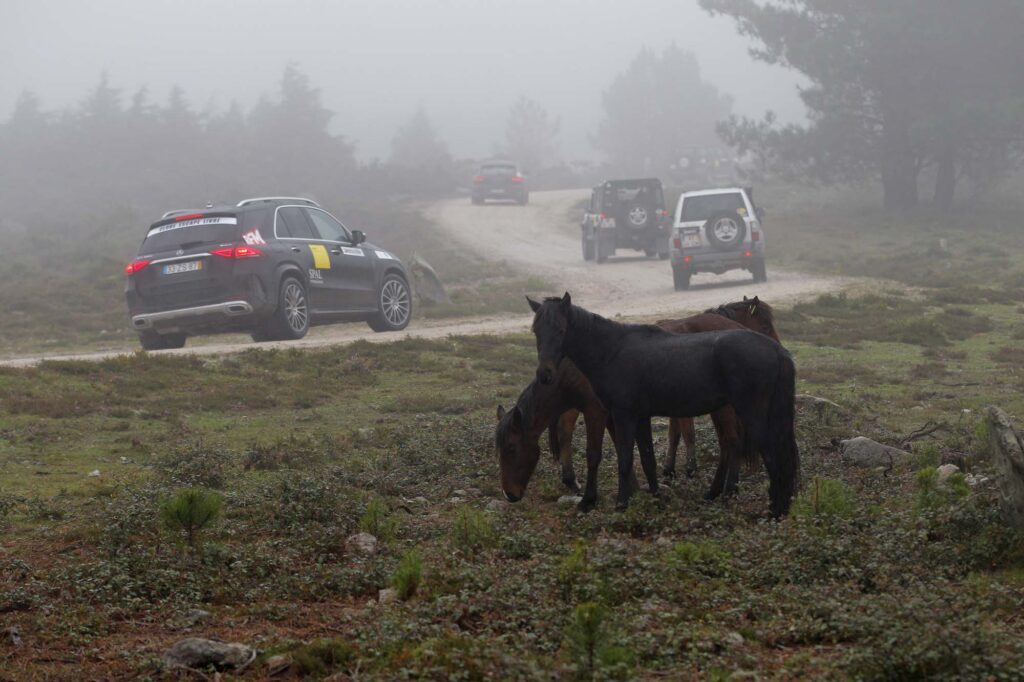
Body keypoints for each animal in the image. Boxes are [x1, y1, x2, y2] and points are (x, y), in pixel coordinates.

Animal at [528, 292, 798, 516]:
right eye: (536, 331)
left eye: (561, 329)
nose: (545, 374)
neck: (613, 350)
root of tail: (778, 352)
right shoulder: (641, 416)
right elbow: (648, 458)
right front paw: (656, 497)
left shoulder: (623, 414)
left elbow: (625, 457)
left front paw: (621, 503)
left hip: (750, 416)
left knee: (769, 456)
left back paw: (773, 511)